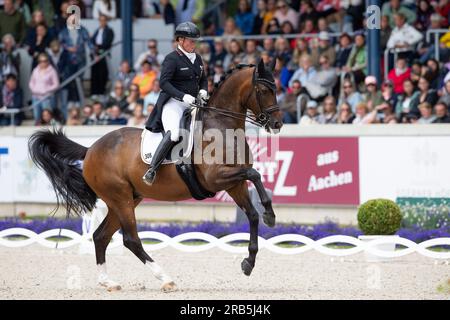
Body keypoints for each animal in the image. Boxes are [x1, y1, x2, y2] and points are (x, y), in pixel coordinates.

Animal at [28, 59, 284, 292]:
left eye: (276, 88)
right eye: (263, 91)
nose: (277, 123)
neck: (221, 127)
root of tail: (90, 149)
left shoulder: (233, 184)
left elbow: (252, 213)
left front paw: (249, 260)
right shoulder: (216, 178)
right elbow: (255, 174)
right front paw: (270, 215)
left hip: (127, 199)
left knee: (101, 236)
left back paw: (108, 282)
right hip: (120, 198)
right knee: (130, 239)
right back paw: (165, 279)